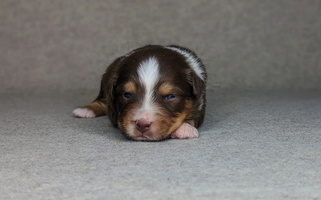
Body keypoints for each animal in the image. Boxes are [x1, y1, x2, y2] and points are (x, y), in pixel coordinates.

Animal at [72, 44, 205, 141]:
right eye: (127, 94)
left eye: (170, 96)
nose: (142, 124)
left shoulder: (201, 101)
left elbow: (194, 116)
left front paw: (185, 128)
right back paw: (85, 110)